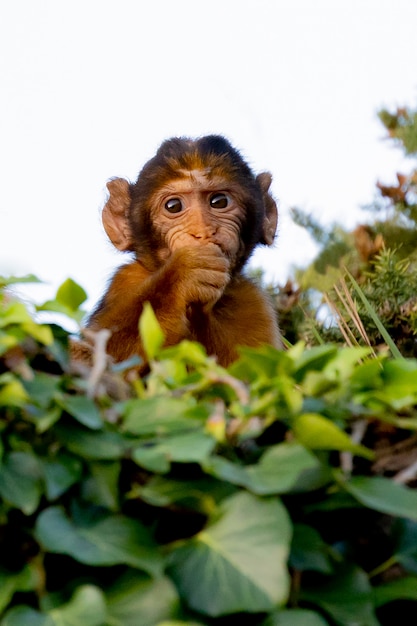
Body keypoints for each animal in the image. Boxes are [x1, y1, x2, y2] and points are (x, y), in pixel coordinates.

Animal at [83, 135, 282, 370]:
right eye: (173, 206)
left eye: (219, 202)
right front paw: (184, 275)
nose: (203, 231)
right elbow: (85, 359)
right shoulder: (126, 280)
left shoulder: (254, 305)